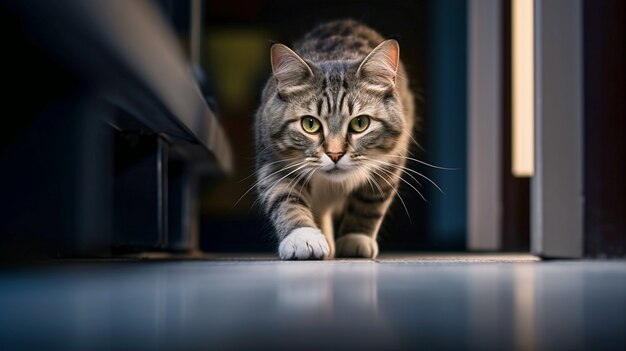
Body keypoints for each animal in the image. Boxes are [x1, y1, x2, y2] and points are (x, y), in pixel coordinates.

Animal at [254, 20, 414, 262]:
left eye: (360, 123)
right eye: (310, 124)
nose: (335, 154)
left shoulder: (390, 161)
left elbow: (370, 203)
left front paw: (356, 238)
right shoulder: (272, 162)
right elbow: (285, 200)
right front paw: (303, 238)